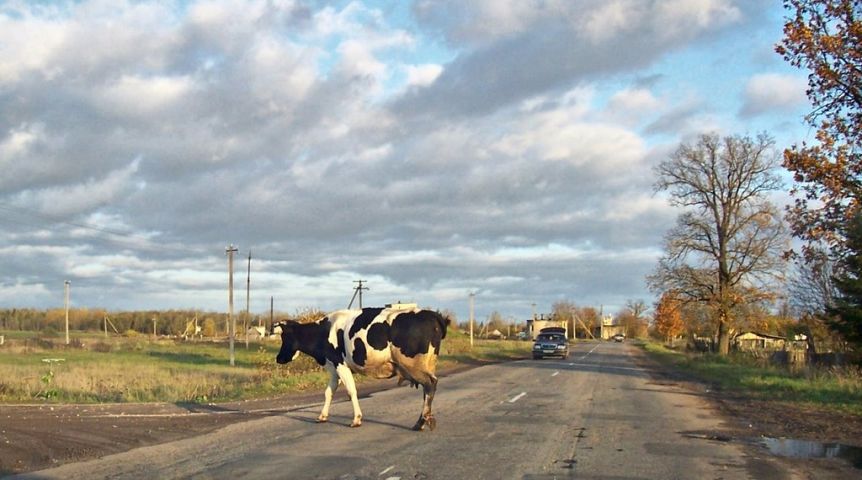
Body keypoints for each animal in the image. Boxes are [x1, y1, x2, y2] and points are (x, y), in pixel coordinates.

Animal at [276, 308, 452, 432]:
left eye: (285, 337)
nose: (278, 358)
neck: (324, 332)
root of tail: (431, 314)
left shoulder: (340, 364)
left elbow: (351, 391)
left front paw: (356, 419)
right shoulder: (333, 368)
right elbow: (329, 392)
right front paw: (322, 416)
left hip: (413, 364)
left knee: (430, 384)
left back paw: (421, 422)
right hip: (427, 364)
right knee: (427, 390)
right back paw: (421, 421)